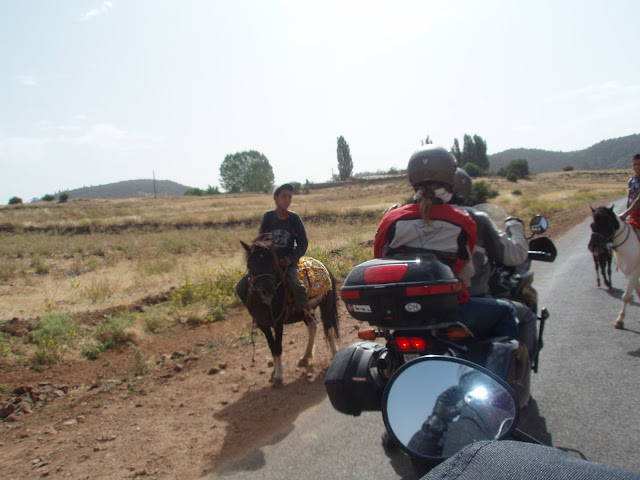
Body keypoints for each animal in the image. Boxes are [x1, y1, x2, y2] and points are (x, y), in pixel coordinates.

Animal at [240, 238, 339, 387]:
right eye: (251, 263)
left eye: (272, 263)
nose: (267, 291)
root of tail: (325, 267)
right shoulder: (263, 325)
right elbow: (272, 347)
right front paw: (274, 372)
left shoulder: (278, 323)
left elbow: (278, 347)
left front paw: (278, 375)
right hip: (305, 310)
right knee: (313, 327)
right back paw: (305, 357)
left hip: (325, 306)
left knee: (329, 328)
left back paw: (334, 354)